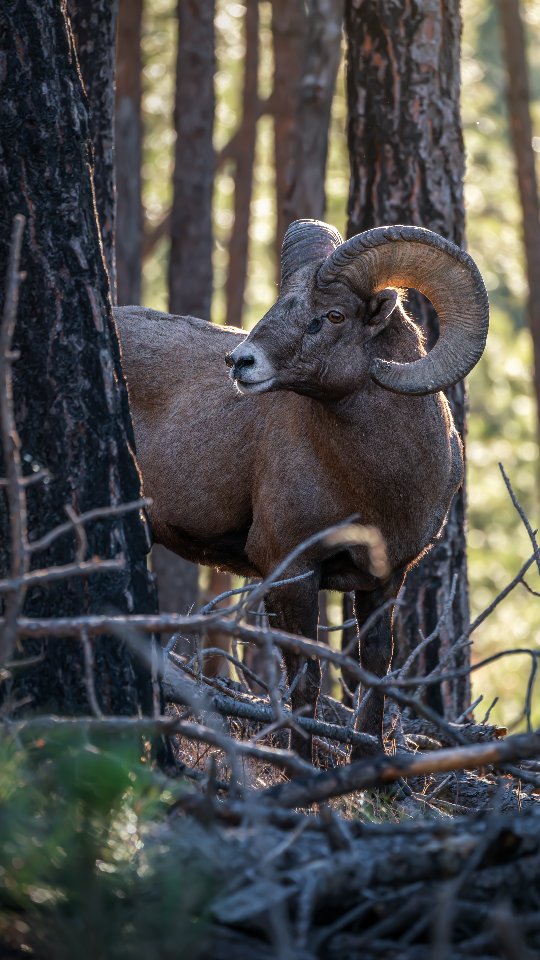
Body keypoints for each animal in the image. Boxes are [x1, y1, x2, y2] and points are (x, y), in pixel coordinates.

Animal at [115, 219, 489, 763]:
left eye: (332, 315)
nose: (240, 362)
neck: (371, 489)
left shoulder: (385, 579)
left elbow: (373, 674)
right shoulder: (291, 571)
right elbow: (305, 682)